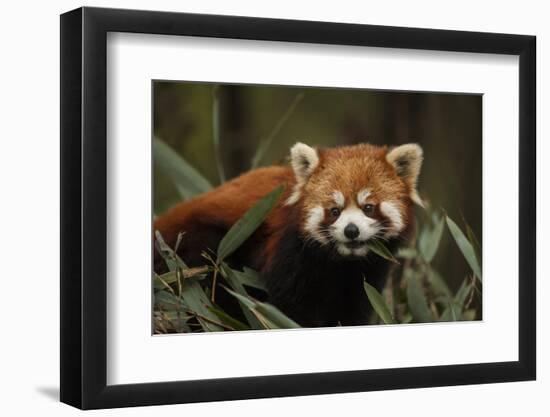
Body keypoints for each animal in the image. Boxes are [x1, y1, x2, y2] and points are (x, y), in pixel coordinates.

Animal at [155, 141, 426, 326]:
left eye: (368, 207)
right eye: (334, 211)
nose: (351, 231)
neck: (340, 262)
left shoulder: (367, 273)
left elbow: (353, 307)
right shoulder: (291, 252)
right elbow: (290, 306)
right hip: (201, 247)